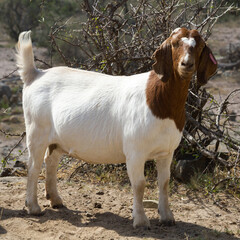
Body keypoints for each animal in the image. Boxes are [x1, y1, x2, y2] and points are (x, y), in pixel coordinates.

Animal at [15, 27, 218, 228]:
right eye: (175, 44)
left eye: (200, 46)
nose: (186, 64)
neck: (159, 101)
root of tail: (35, 74)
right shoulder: (135, 152)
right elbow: (139, 184)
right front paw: (141, 220)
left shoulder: (166, 152)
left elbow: (164, 182)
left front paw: (167, 217)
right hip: (36, 130)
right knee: (33, 166)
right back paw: (33, 207)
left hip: (57, 139)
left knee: (51, 160)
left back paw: (55, 199)